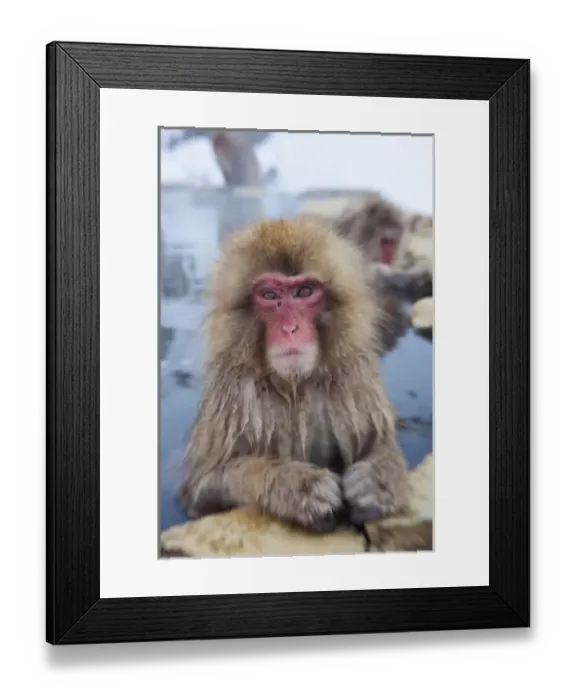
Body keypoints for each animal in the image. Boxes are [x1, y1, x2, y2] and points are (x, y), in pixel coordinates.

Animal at [177, 218, 411, 534]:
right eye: (270, 295)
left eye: (305, 291)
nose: (290, 328)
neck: (294, 385)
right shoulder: (234, 393)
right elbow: (200, 489)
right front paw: (294, 485)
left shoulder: (355, 377)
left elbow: (380, 441)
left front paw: (379, 480)